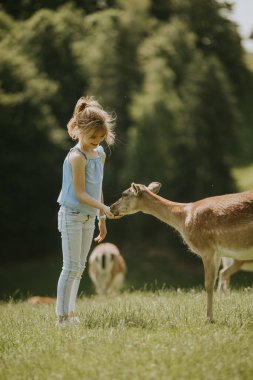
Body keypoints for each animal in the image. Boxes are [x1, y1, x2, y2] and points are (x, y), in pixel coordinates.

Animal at [110, 183, 253, 322]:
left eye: (124, 194)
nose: (111, 207)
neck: (183, 217)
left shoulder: (206, 248)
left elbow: (208, 285)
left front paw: (208, 318)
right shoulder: (218, 253)